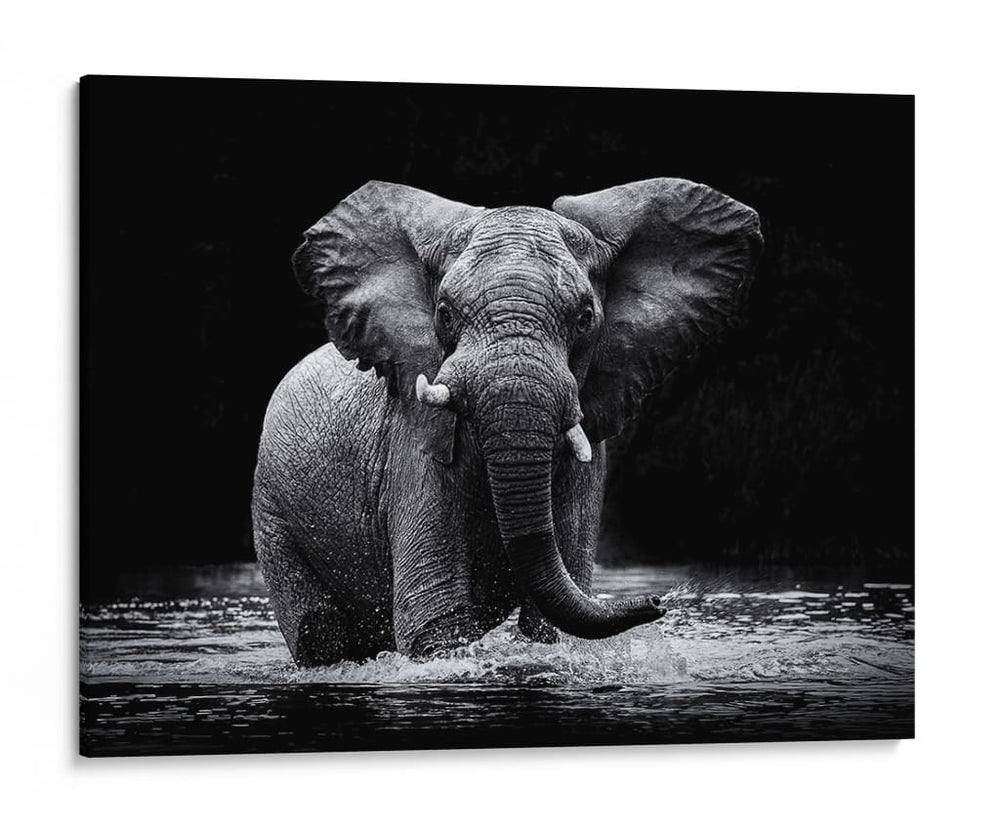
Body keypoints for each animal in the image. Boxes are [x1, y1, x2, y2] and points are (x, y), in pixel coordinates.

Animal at [252, 178, 762, 666]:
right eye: (444, 313)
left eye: (584, 318)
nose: (658, 601)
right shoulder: (414, 444)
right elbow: (434, 622)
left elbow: (550, 623)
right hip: (272, 514)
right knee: (317, 633)